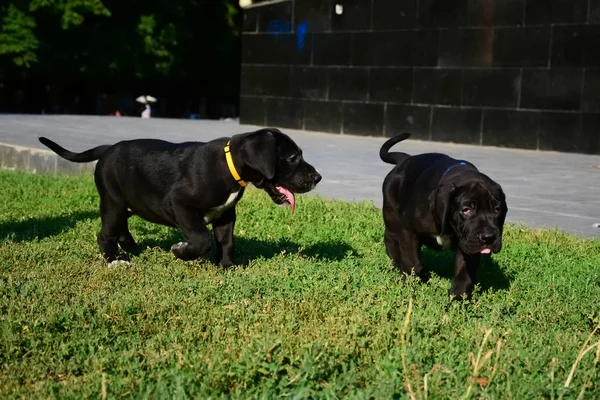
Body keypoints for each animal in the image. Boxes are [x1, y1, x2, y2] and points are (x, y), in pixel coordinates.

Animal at [39, 128, 322, 266]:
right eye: (293, 158)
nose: (317, 177)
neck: (228, 165)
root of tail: (108, 149)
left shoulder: (226, 213)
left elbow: (226, 241)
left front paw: (226, 265)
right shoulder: (178, 204)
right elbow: (201, 237)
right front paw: (181, 251)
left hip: (125, 202)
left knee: (121, 227)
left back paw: (129, 244)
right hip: (112, 200)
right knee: (105, 233)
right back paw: (115, 260)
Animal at [380, 133, 506, 298]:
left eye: (497, 210)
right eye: (466, 210)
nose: (488, 237)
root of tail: (405, 160)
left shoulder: (468, 244)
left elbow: (463, 274)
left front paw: (458, 298)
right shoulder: (408, 231)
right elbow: (413, 263)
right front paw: (411, 283)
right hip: (392, 218)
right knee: (391, 240)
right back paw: (397, 266)